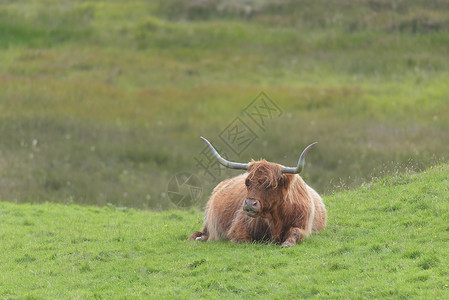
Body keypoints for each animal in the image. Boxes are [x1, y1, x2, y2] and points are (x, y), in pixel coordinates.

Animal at [189, 137, 326, 247]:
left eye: (270, 186)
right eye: (247, 182)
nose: (250, 204)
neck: (276, 218)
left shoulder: (304, 226)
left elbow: (296, 232)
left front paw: (288, 243)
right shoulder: (239, 225)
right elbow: (243, 239)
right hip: (208, 222)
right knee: (200, 232)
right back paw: (197, 238)